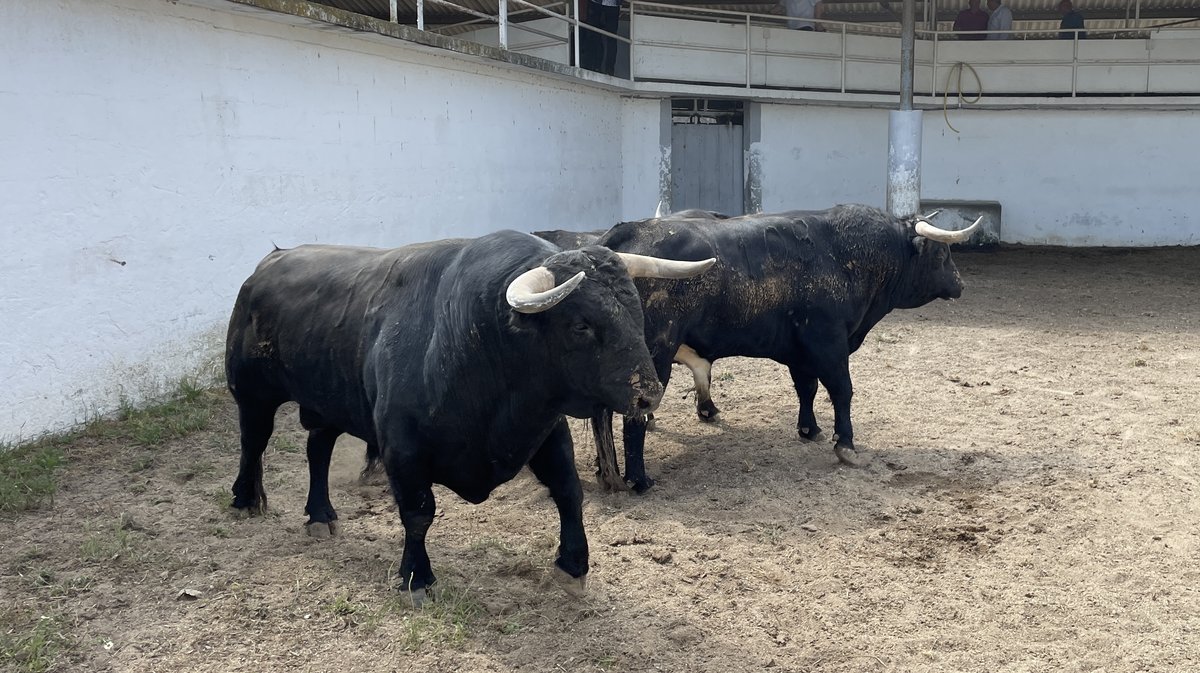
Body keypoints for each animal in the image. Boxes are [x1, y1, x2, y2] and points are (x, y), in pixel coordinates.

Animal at [225, 230, 710, 597]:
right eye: (580, 325)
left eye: (636, 312)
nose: (648, 396)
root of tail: (268, 264)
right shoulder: (402, 448)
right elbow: (418, 513)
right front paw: (417, 578)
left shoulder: (546, 432)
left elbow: (569, 492)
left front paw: (573, 566)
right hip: (252, 393)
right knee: (254, 442)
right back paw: (246, 500)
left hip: (327, 401)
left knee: (318, 449)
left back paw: (321, 515)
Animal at [544, 201, 974, 491]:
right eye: (942, 251)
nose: (960, 284)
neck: (844, 255)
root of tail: (622, 239)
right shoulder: (828, 343)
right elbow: (842, 390)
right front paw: (846, 444)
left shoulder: (801, 351)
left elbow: (807, 389)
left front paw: (809, 429)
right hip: (652, 357)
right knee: (632, 415)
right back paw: (638, 479)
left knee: (603, 414)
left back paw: (607, 471)